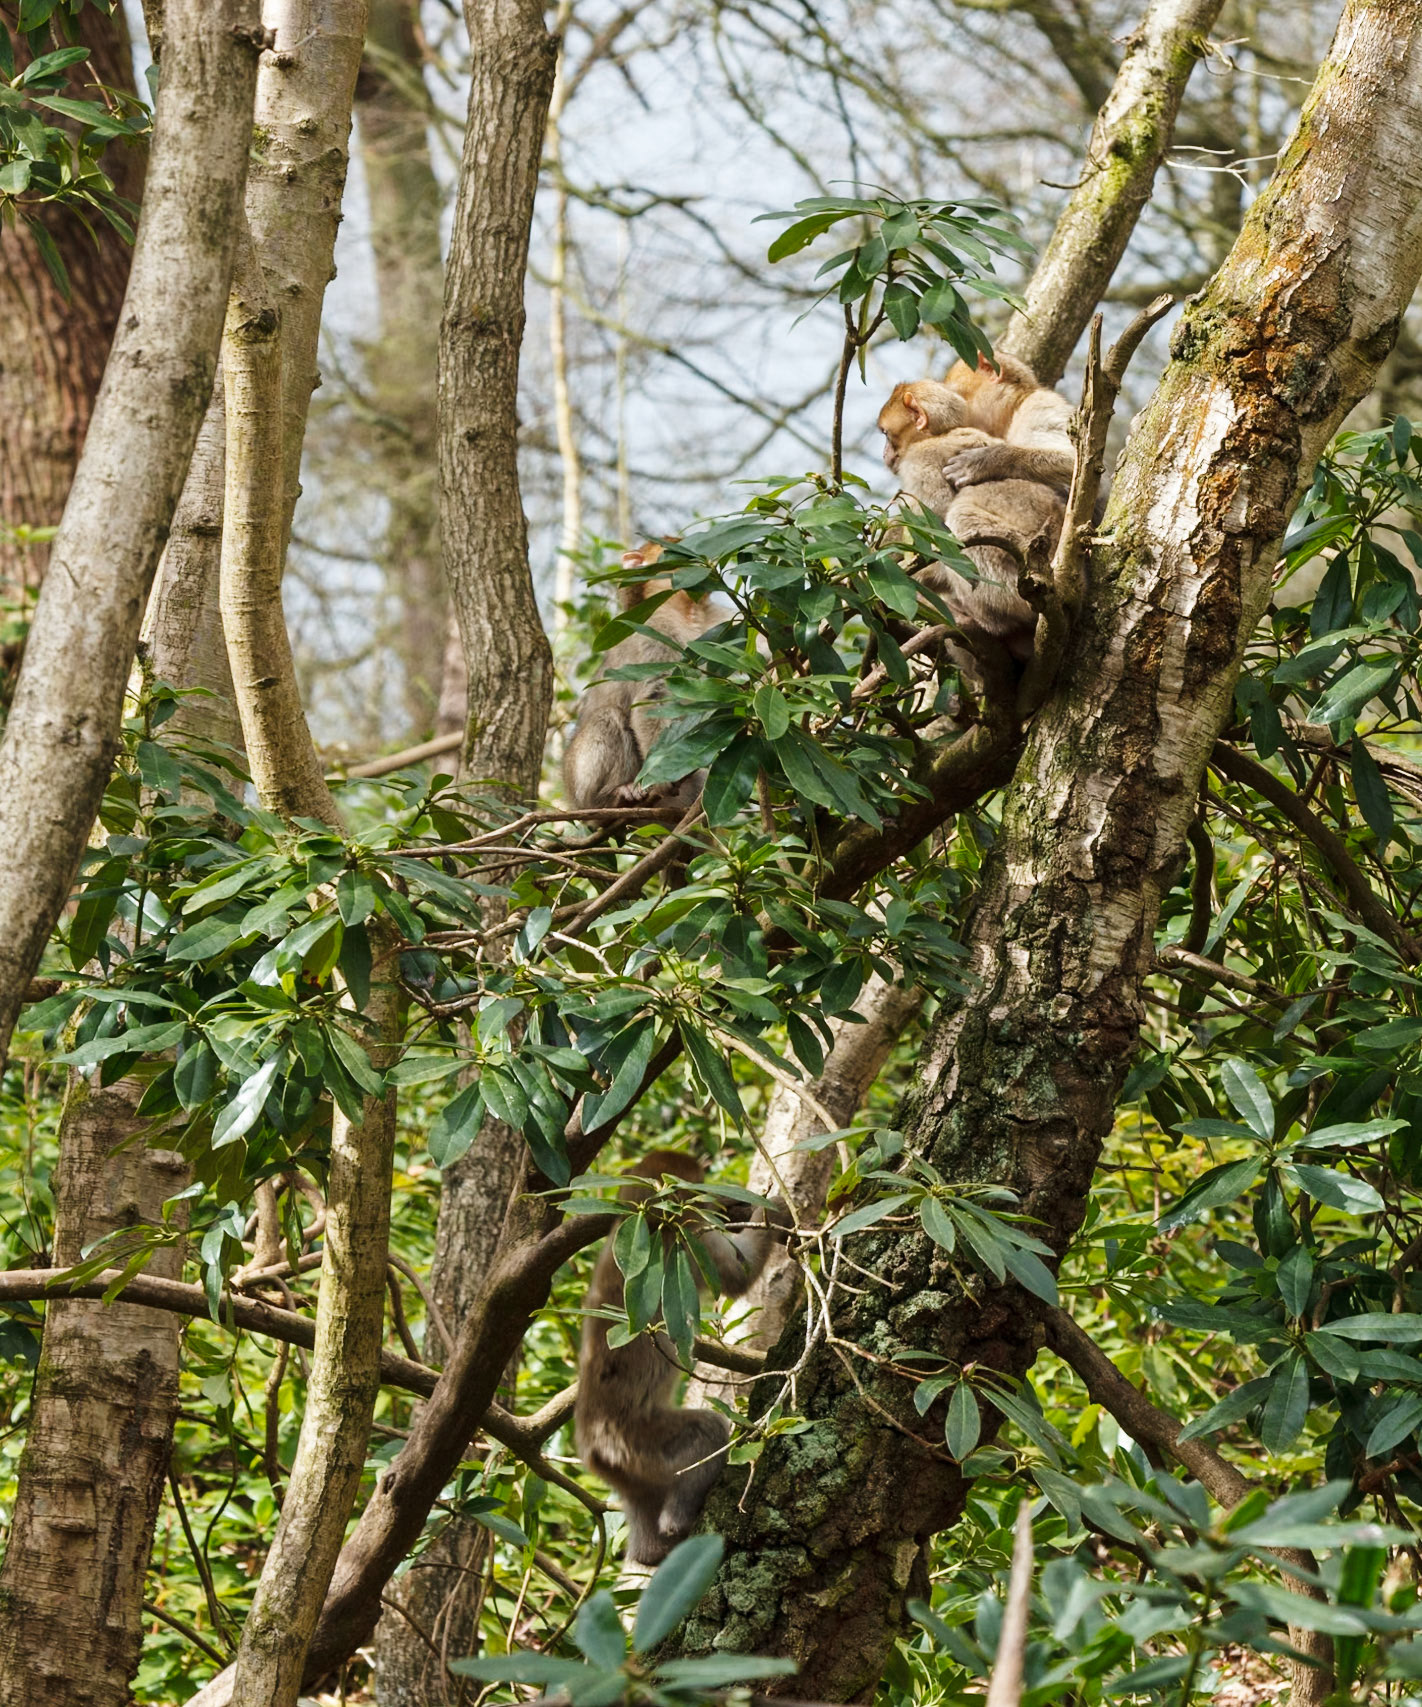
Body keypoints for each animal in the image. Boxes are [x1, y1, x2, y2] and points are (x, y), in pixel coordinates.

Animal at [562, 542, 729, 818]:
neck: (689, 611)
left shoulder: (721, 621)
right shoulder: (655, 630)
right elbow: (654, 698)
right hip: (578, 784)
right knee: (608, 717)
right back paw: (613, 798)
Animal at [575, 1150, 786, 1565]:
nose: (718, 1200)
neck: (641, 1219)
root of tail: (595, 1447)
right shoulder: (689, 1233)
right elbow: (737, 1273)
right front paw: (779, 1209)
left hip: (626, 1469)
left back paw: (652, 1551)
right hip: (641, 1442)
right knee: (706, 1430)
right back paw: (679, 1521)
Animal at [877, 378, 1065, 662]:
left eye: (887, 435)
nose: (884, 453)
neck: (937, 435)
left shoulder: (919, 461)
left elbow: (936, 526)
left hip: (1016, 576)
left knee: (962, 519)